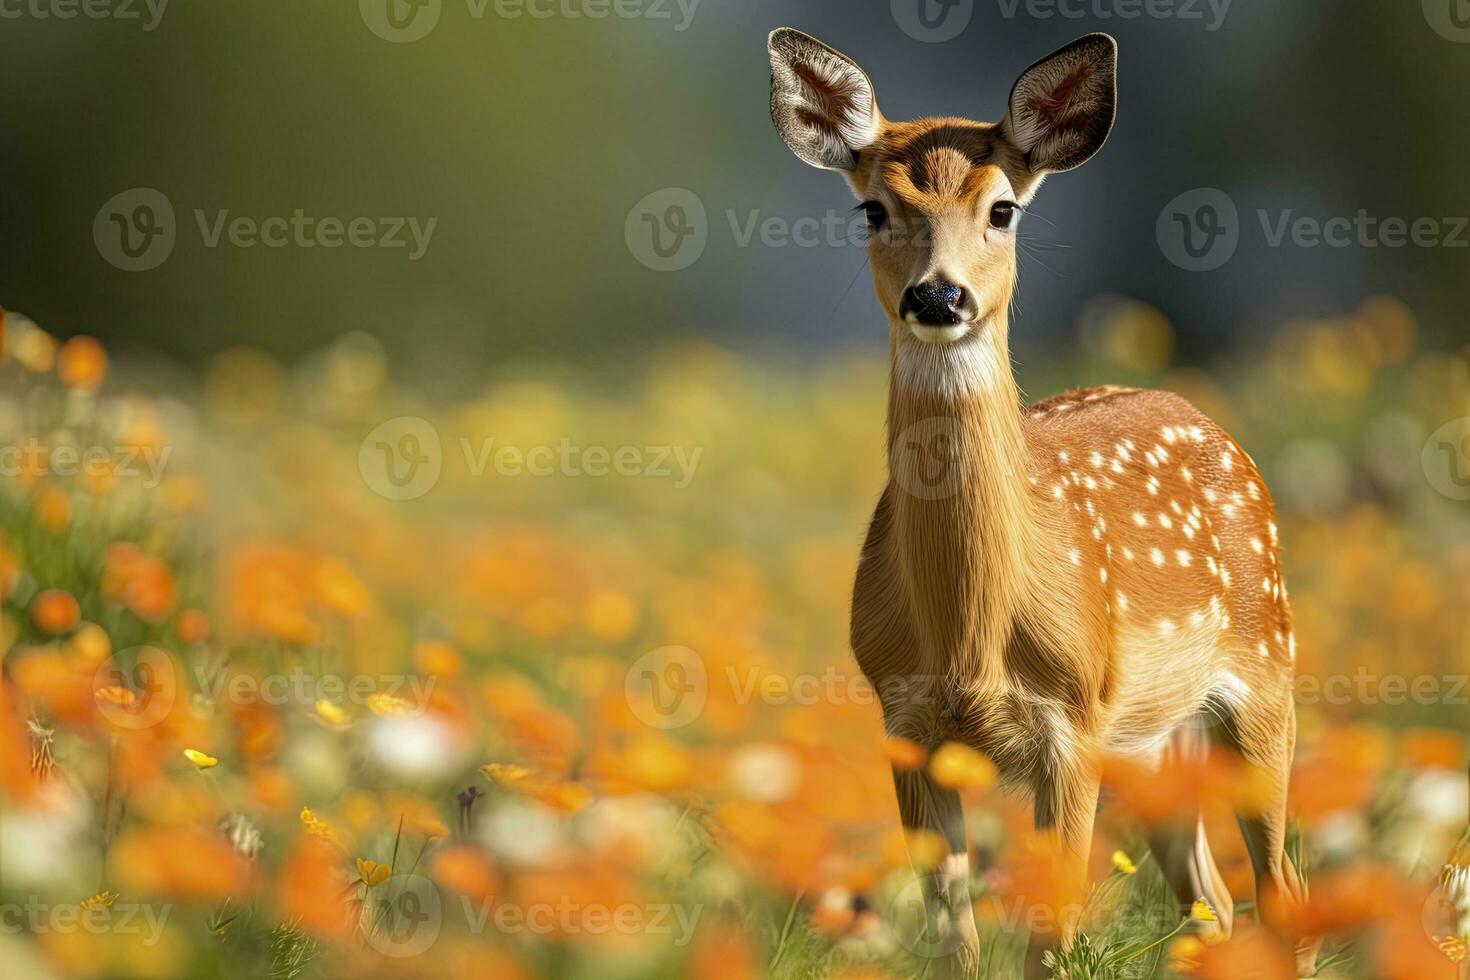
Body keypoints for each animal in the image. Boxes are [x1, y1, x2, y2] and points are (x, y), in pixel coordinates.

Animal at [770, 26, 1323, 975]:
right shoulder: (905, 722)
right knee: (1212, 900)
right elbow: (953, 940)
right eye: (872, 210)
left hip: (1262, 673)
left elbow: (1052, 937)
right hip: (1155, 742)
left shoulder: (1072, 725)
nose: (937, 295)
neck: (969, 633)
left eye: (1003, 210)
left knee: (1281, 890)